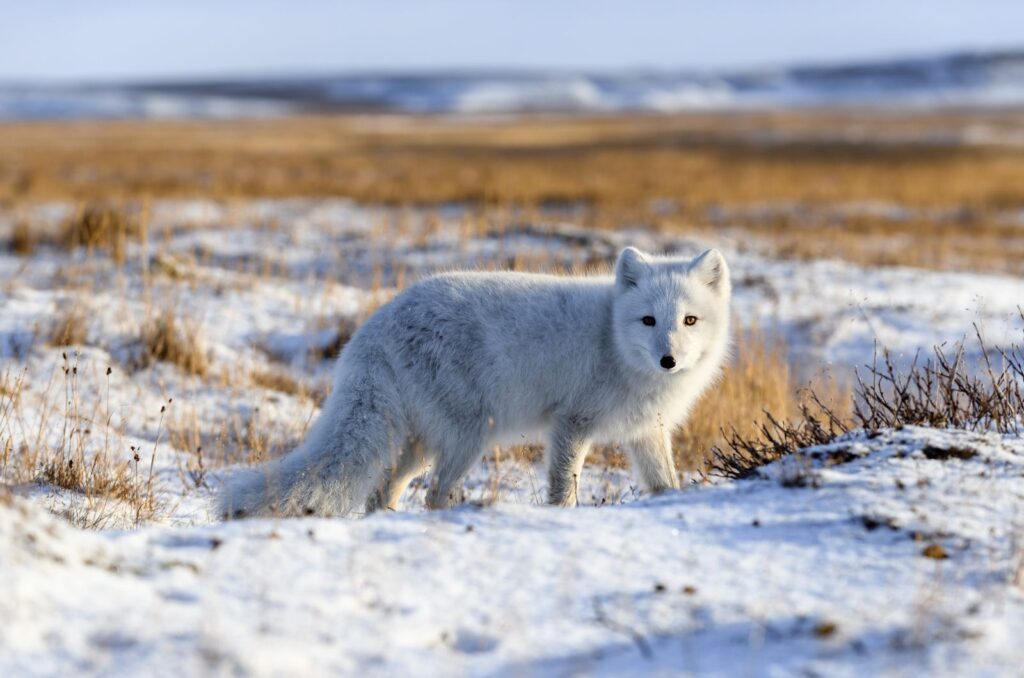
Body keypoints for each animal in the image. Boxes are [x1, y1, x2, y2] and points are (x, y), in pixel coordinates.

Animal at [220, 249, 733, 520]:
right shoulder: (571, 424)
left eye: (689, 320)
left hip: (422, 443)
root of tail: (376, 325)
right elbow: (563, 488)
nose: (668, 360)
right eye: (648, 320)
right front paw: (563, 518)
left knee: (384, 491)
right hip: (467, 437)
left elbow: (665, 484)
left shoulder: (647, 433)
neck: (614, 342)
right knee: (432, 494)